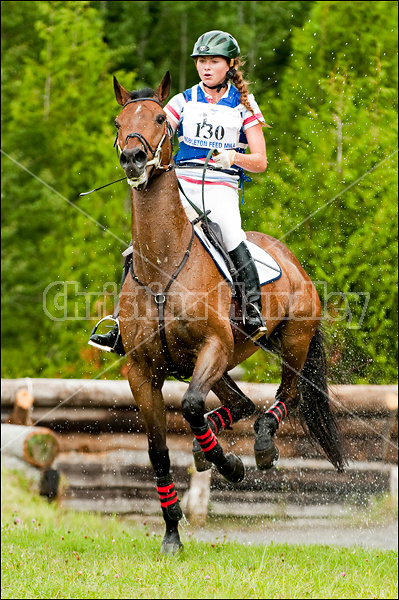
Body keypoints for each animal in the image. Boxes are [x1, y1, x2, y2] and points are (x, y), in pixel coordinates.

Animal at [111, 72, 346, 556]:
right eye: (119, 122)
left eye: (160, 119)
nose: (133, 158)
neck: (162, 264)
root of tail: (292, 258)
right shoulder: (142, 371)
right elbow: (158, 451)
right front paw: (172, 535)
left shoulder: (213, 345)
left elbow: (191, 406)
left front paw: (231, 464)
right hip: (224, 358)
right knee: (239, 403)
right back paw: (210, 451)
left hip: (290, 342)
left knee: (285, 396)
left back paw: (261, 447)